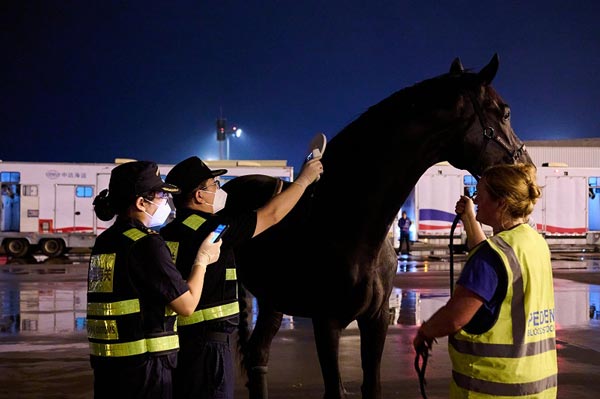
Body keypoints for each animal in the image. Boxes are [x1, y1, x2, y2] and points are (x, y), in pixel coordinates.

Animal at [223, 54, 532, 399]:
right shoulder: (326, 321)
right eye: (504, 112)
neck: (349, 225)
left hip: (273, 301)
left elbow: (372, 385)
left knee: (258, 355)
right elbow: (335, 389)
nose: (528, 166)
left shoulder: (376, 319)